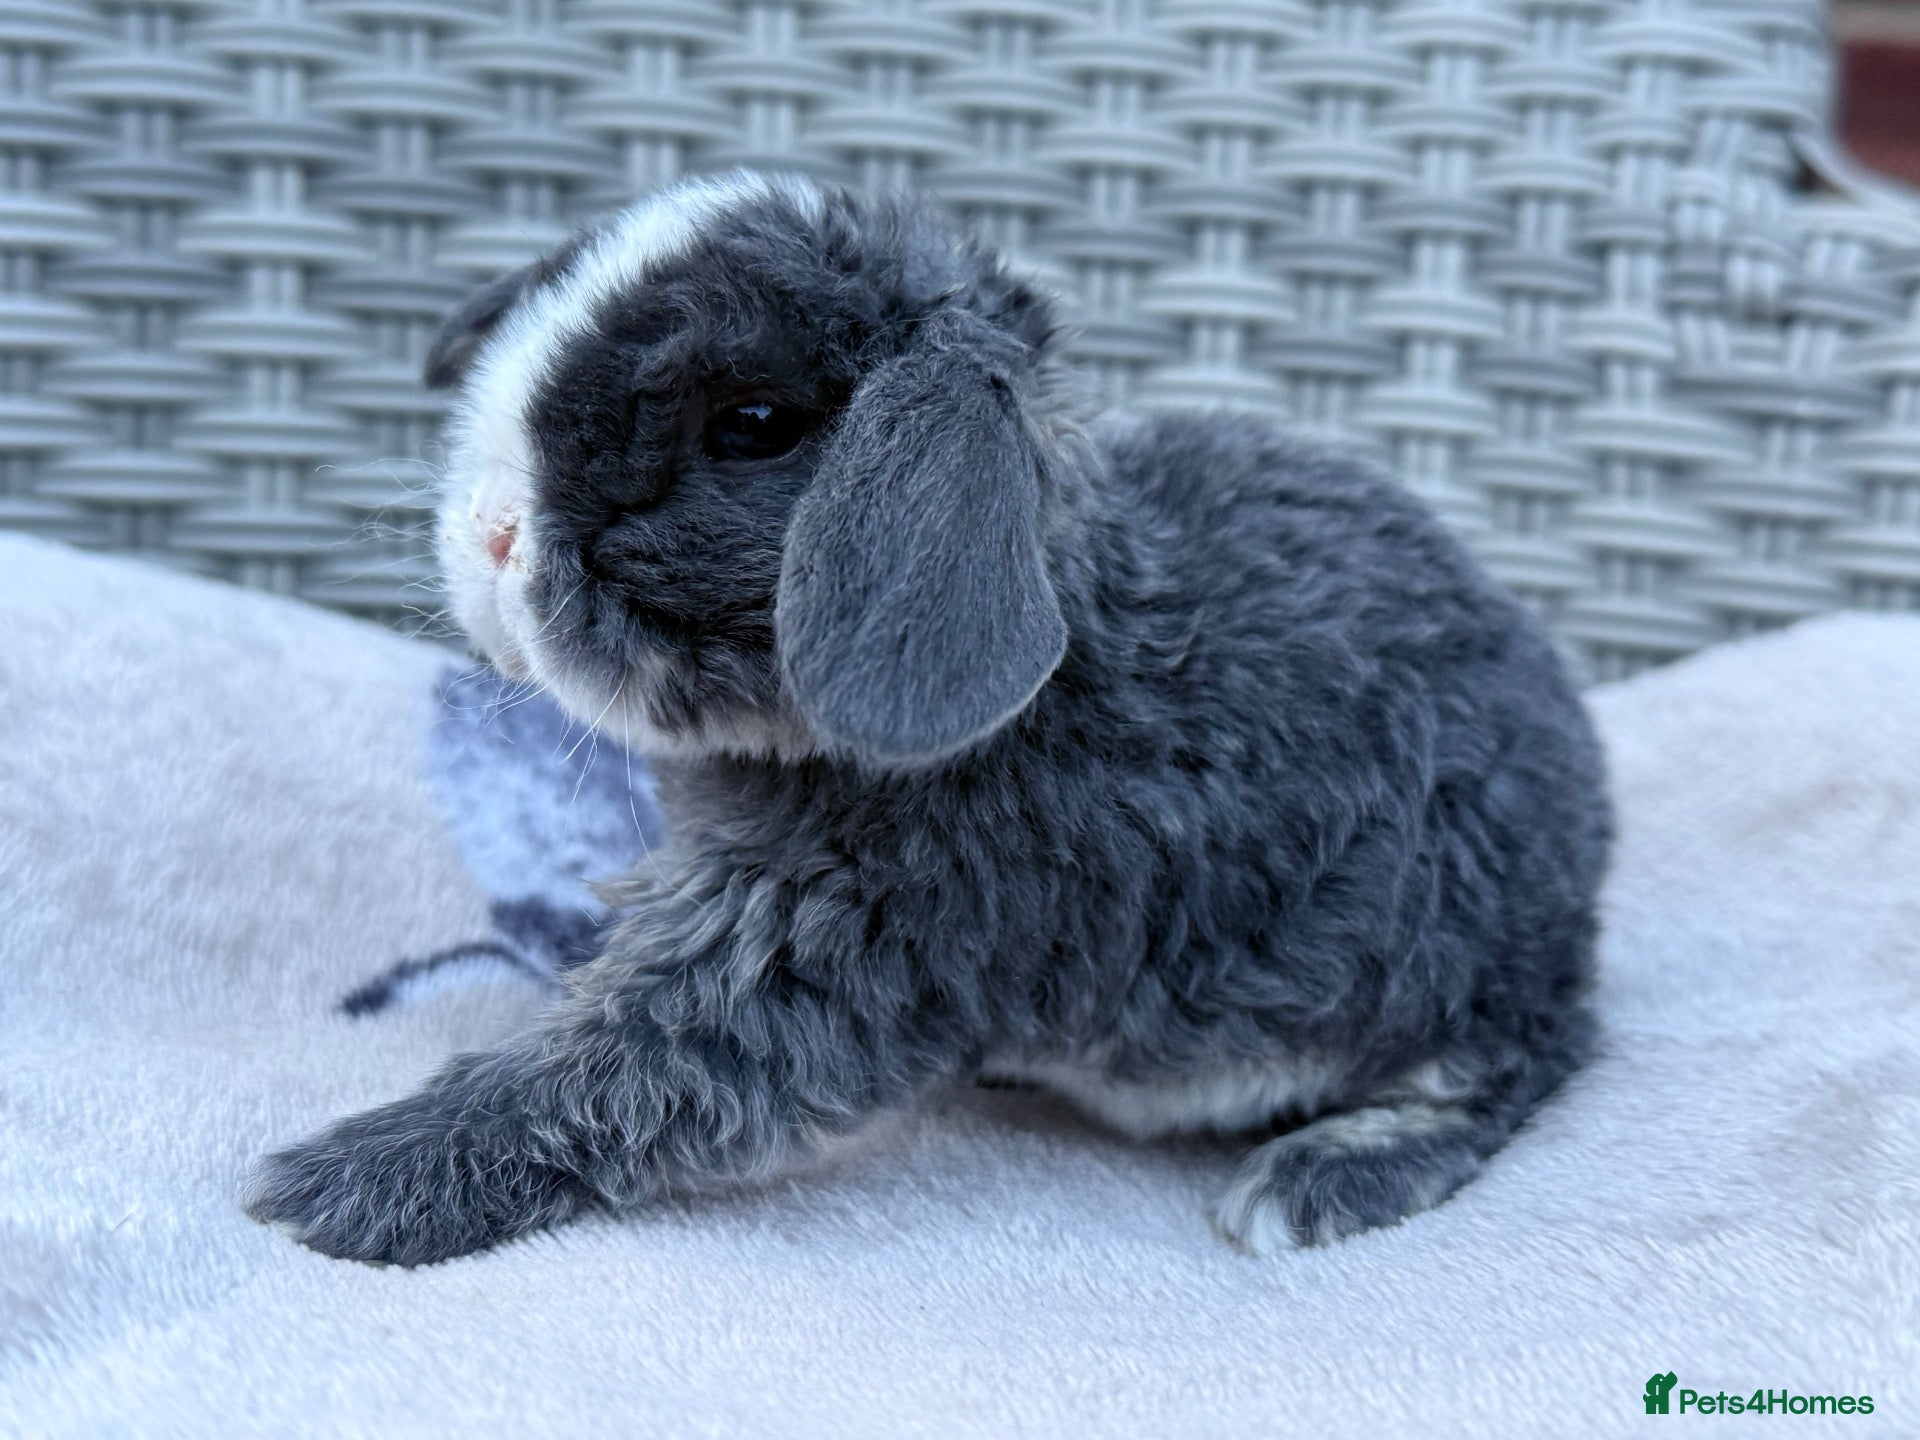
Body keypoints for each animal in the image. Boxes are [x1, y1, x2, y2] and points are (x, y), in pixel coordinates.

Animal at [246, 171, 1611, 1266]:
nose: (491, 534)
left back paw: (1320, 1176)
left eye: (752, 425)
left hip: (1450, 974)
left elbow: (608, 1074)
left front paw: (337, 1185)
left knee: (1512, 1074)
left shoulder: (824, 950)